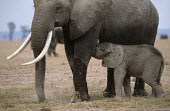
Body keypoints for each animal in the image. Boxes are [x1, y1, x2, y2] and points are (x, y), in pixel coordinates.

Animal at [6, 0, 158, 103]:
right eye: (33, 5)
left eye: (58, 7)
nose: (44, 100)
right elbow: (70, 52)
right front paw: (79, 97)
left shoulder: (93, 18)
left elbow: (83, 49)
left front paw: (80, 99)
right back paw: (109, 94)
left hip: (152, 24)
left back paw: (140, 94)